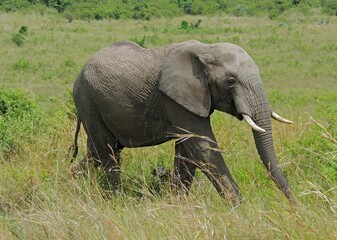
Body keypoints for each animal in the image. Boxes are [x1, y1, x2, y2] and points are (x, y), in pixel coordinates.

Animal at [71, 39, 294, 204]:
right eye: (231, 81)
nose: (294, 204)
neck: (206, 49)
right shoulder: (175, 100)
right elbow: (203, 148)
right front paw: (239, 207)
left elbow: (188, 151)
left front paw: (178, 202)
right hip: (88, 100)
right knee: (107, 150)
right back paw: (116, 199)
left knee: (97, 152)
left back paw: (73, 181)